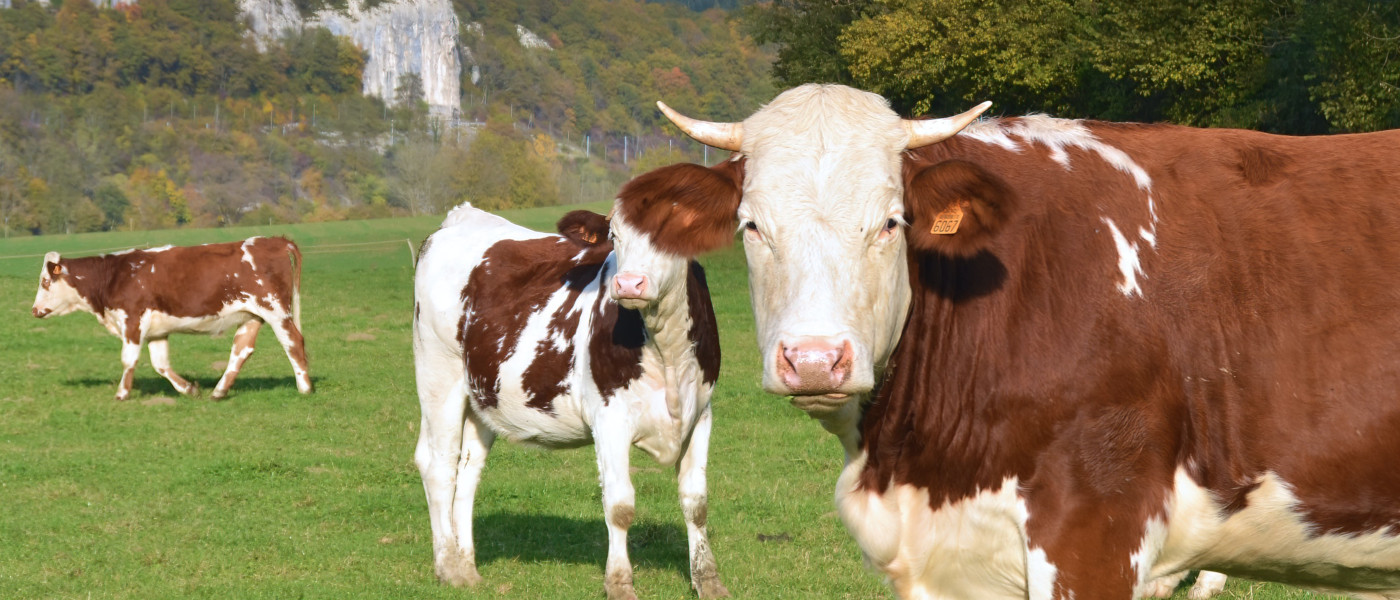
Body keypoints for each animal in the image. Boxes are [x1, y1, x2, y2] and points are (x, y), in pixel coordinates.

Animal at [32, 237, 312, 401]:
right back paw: (218, 391)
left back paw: (305, 388)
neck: (114, 275)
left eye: (45, 281)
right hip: (252, 316)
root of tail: (272, 240)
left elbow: (128, 359)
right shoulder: (157, 331)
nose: (34, 310)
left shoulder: (133, 320)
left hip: (275, 310)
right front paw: (189, 389)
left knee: (293, 342)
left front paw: (122, 393)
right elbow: (160, 364)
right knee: (241, 350)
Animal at [411, 197, 733, 599]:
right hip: (438, 373)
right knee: (438, 465)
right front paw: (619, 584)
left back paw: (467, 567)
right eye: (615, 235)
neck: (667, 348)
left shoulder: (701, 413)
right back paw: (449, 567)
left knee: (467, 471)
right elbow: (620, 505)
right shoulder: (609, 418)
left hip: (482, 395)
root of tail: (463, 215)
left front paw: (709, 581)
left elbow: (696, 502)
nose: (629, 283)